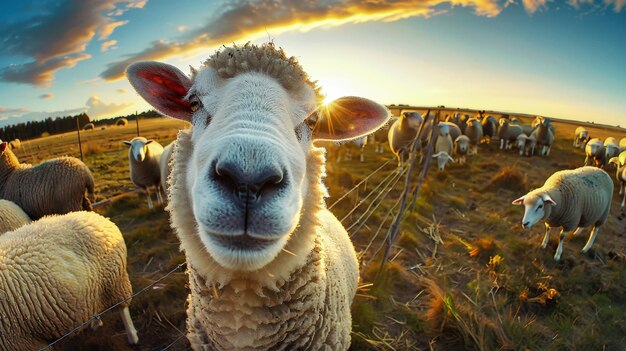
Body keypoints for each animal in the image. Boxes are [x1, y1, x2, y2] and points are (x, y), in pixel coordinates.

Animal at [0, 210, 138, 350]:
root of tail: (99, 217)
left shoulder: (22, 342)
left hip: (115, 280)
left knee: (123, 308)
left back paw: (132, 336)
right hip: (95, 287)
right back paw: (95, 321)